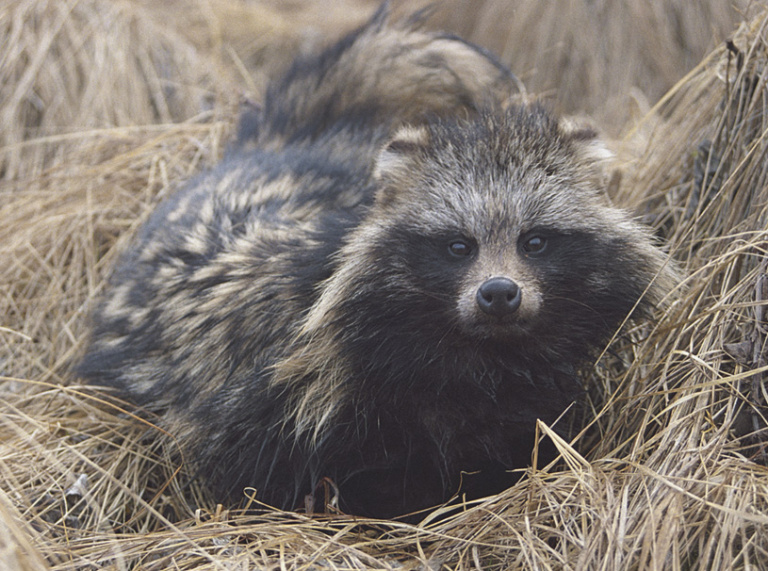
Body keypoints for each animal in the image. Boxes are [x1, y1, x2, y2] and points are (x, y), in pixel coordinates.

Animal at [78, 8, 676, 520]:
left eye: (535, 241)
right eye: (458, 246)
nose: (499, 293)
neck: (479, 354)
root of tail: (288, 147)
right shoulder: (286, 389)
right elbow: (264, 469)